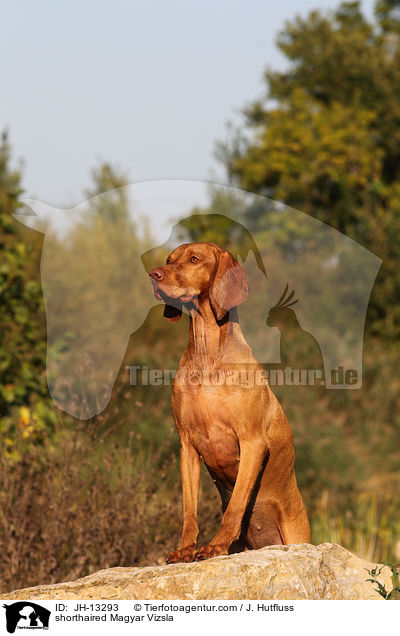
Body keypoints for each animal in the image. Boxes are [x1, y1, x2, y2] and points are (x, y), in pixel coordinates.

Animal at [149, 240, 310, 560]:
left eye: (194, 259)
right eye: (169, 259)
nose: (153, 274)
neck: (207, 352)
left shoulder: (252, 442)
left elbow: (234, 507)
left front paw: (216, 545)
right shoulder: (187, 446)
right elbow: (189, 510)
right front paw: (185, 549)